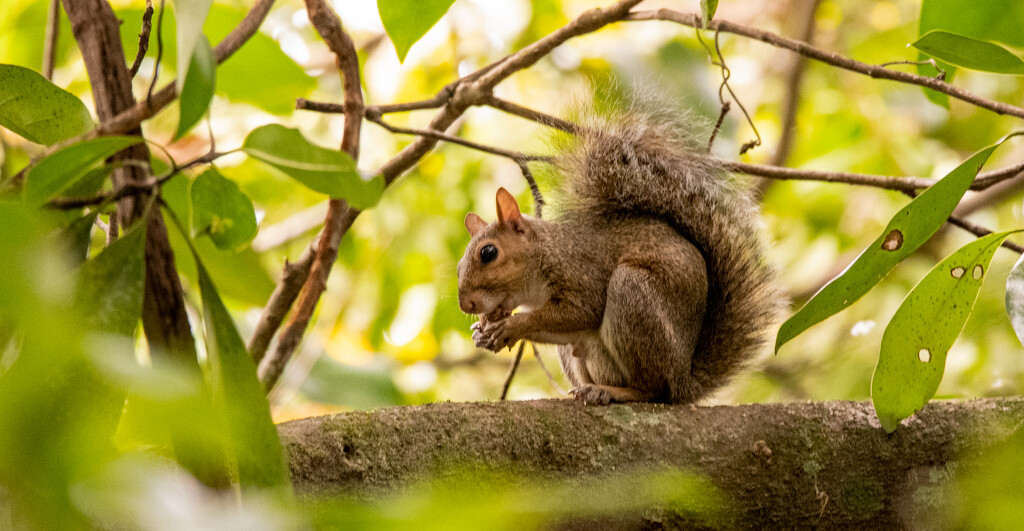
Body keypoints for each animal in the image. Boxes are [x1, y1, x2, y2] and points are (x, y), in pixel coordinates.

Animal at [452, 101, 778, 405]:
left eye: (488, 253)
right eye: (458, 267)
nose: (467, 304)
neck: (545, 255)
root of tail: (683, 382)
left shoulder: (582, 272)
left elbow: (582, 311)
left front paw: (512, 325)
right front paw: (483, 330)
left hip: (631, 294)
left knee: (652, 389)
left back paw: (613, 392)